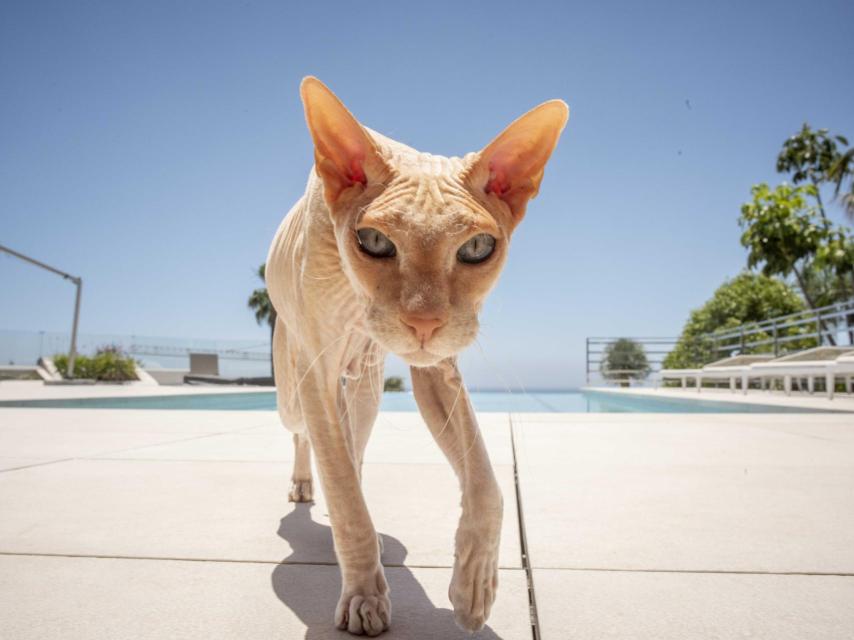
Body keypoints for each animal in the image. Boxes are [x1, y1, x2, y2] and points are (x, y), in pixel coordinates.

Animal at [268, 76, 568, 636]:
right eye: (373, 241)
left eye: (476, 249)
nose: (425, 323)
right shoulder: (318, 374)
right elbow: (343, 493)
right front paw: (364, 596)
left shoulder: (437, 371)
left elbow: (487, 484)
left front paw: (474, 588)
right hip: (293, 387)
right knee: (307, 439)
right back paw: (303, 485)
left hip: (365, 387)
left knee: (353, 443)